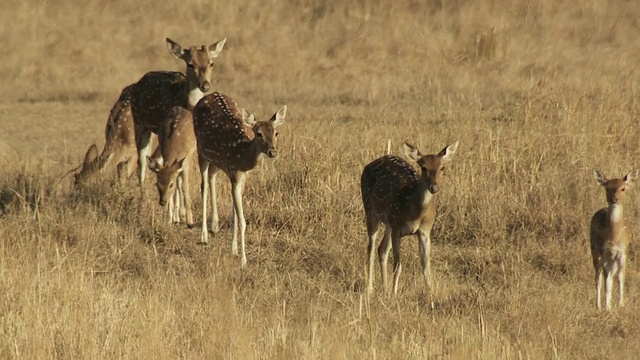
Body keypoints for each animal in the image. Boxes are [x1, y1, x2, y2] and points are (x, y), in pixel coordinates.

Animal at [192, 92, 288, 268]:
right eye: (259, 134)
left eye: (276, 133)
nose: (273, 152)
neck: (241, 156)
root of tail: (209, 94)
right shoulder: (235, 174)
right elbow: (242, 220)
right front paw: (244, 259)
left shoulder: (241, 177)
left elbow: (235, 213)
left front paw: (234, 249)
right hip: (200, 150)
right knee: (203, 186)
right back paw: (204, 235)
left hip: (217, 162)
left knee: (211, 177)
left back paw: (214, 225)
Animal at [360, 141, 460, 296]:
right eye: (424, 167)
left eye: (442, 167)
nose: (434, 187)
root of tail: (369, 164)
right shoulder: (397, 228)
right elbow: (397, 266)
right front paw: (394, 295)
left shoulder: (425, 230)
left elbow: (426, 267)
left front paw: (430, 294)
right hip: (370, 210)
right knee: (370, 248)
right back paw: (370, 288)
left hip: (389, 222)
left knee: (382, 249)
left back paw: (385, 288)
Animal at [592, 170, 636, 310]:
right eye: (607, 188)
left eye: (623, 188)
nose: (614, 199)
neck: (614, 238)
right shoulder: (605, 253)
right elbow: (607, 280)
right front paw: (608, 306)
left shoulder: (623, 253)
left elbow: (621, 277)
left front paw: (621, 304)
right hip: (594, 251)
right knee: (598, 277)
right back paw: (598, 305)